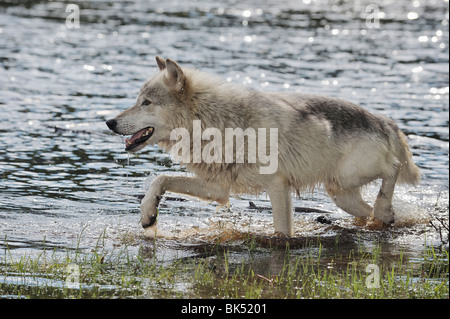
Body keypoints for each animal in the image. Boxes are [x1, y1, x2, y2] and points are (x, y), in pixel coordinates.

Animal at [104, 57, 418, 238]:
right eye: (138, 100)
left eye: (146, 103)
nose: (109, 122)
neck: (215, 122)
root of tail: (384, 120)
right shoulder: (219, 188)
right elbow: (160, 179)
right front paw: (148, 214)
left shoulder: (277, 185)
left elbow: (282, 231)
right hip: (341, 194)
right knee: (369, 212)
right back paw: (381, 219)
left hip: (349, 176)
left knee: (392, 170)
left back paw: (384, 209)